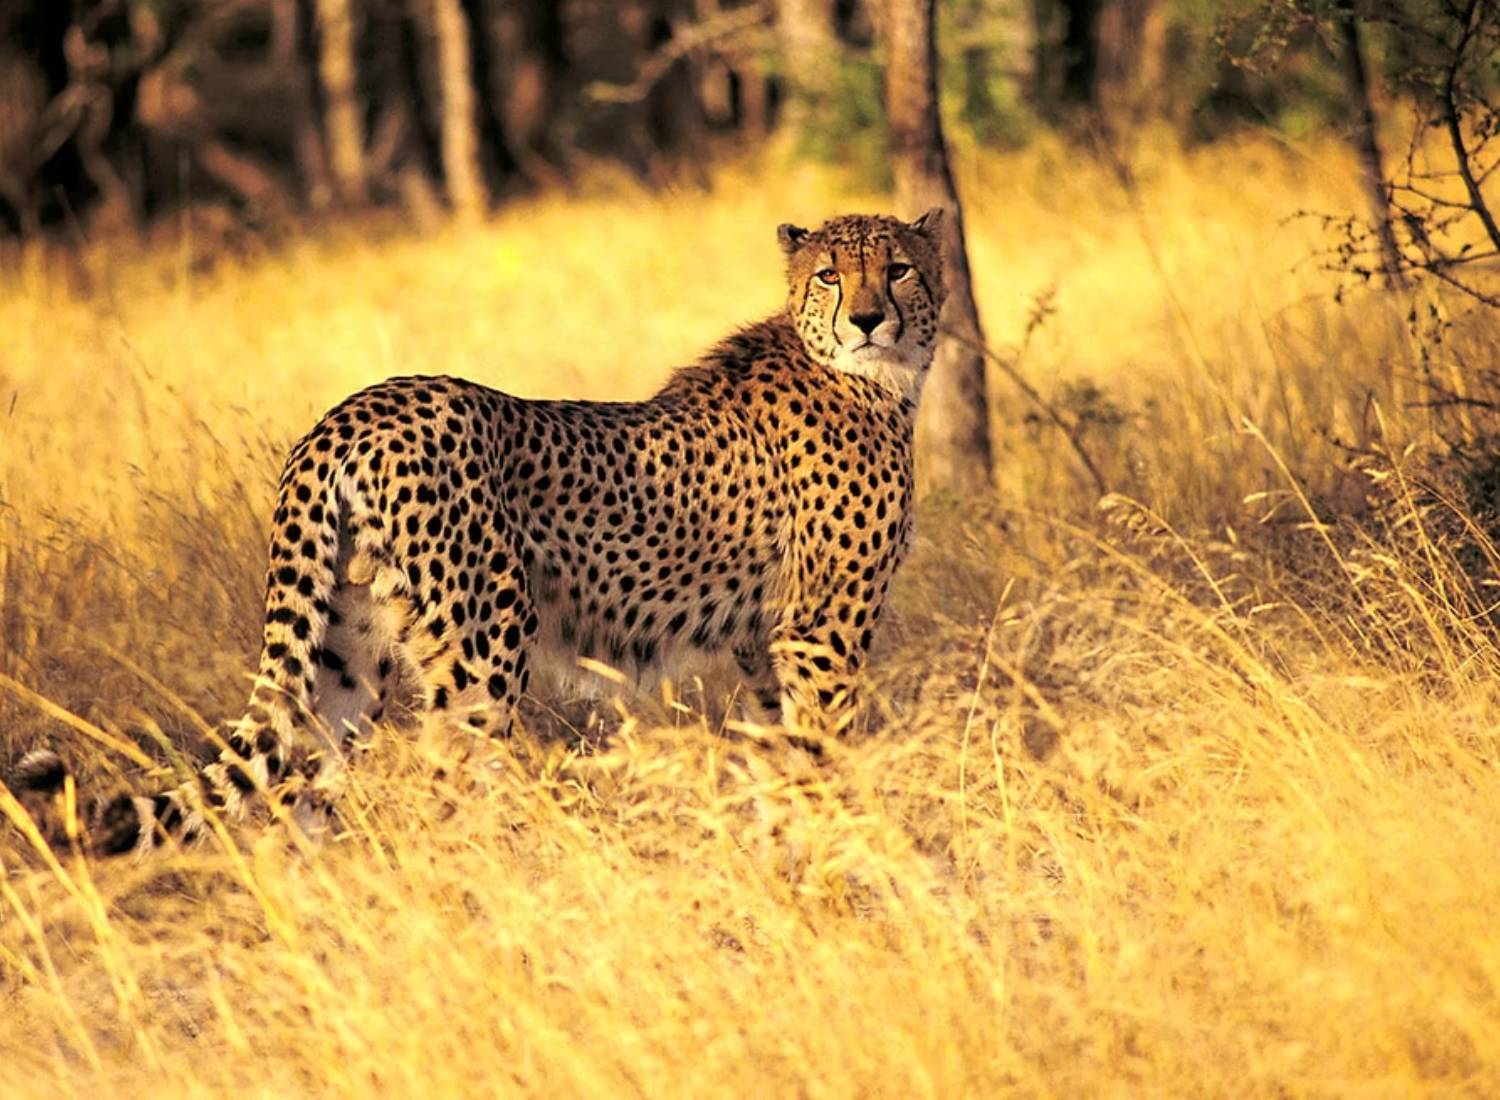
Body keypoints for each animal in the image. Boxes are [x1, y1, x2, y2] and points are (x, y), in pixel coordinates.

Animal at [11, 208, 947, 856]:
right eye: (829, 275)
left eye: (898, 269)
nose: (869, 319)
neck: (868, 377)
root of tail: (351, 411)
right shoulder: (822, 631)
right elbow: (824, 757)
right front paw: (842, 875)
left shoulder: (762, 640)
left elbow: (779, 762)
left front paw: (787, 865)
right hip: (485, 647)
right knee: (447, 794)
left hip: (342, 652)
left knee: (296, 797)